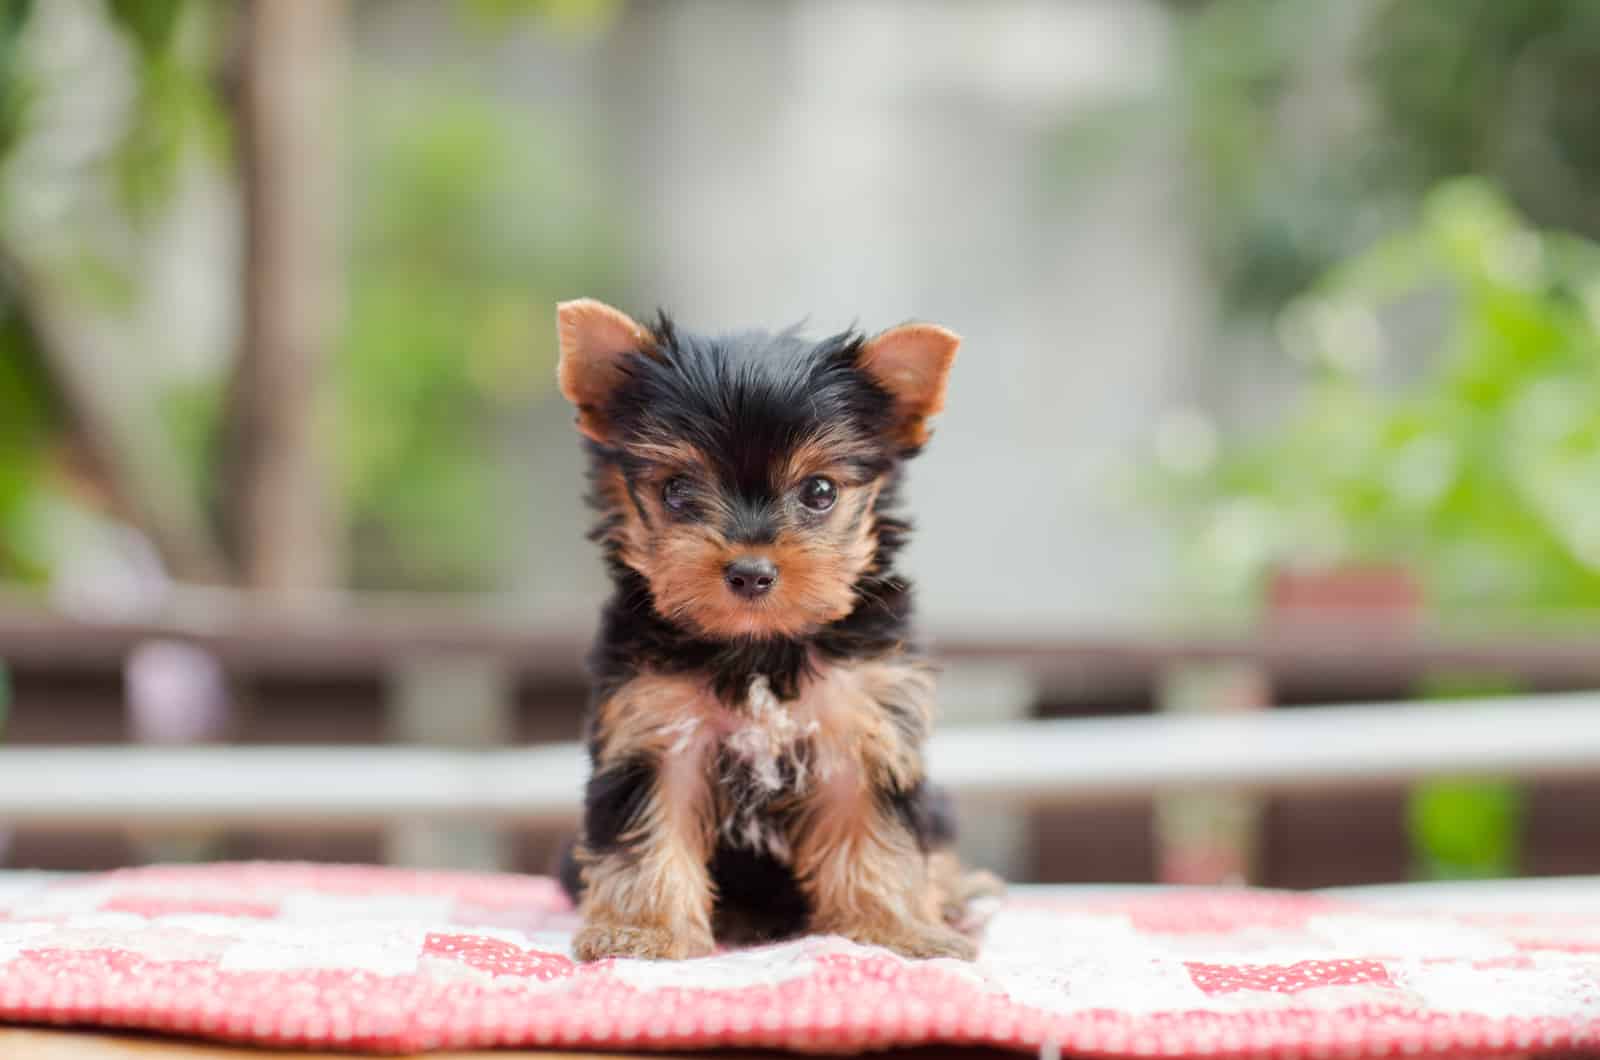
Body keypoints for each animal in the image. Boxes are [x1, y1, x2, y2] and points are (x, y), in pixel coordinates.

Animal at [553, 299, 998, 960]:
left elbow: (875, 834)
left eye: (819, 491)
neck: (759, 647)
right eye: (676, 490)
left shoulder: (862, 724)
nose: (751, 572)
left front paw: (893, 929)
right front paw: (643, 931)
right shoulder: (656, 726)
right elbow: (649, 831)